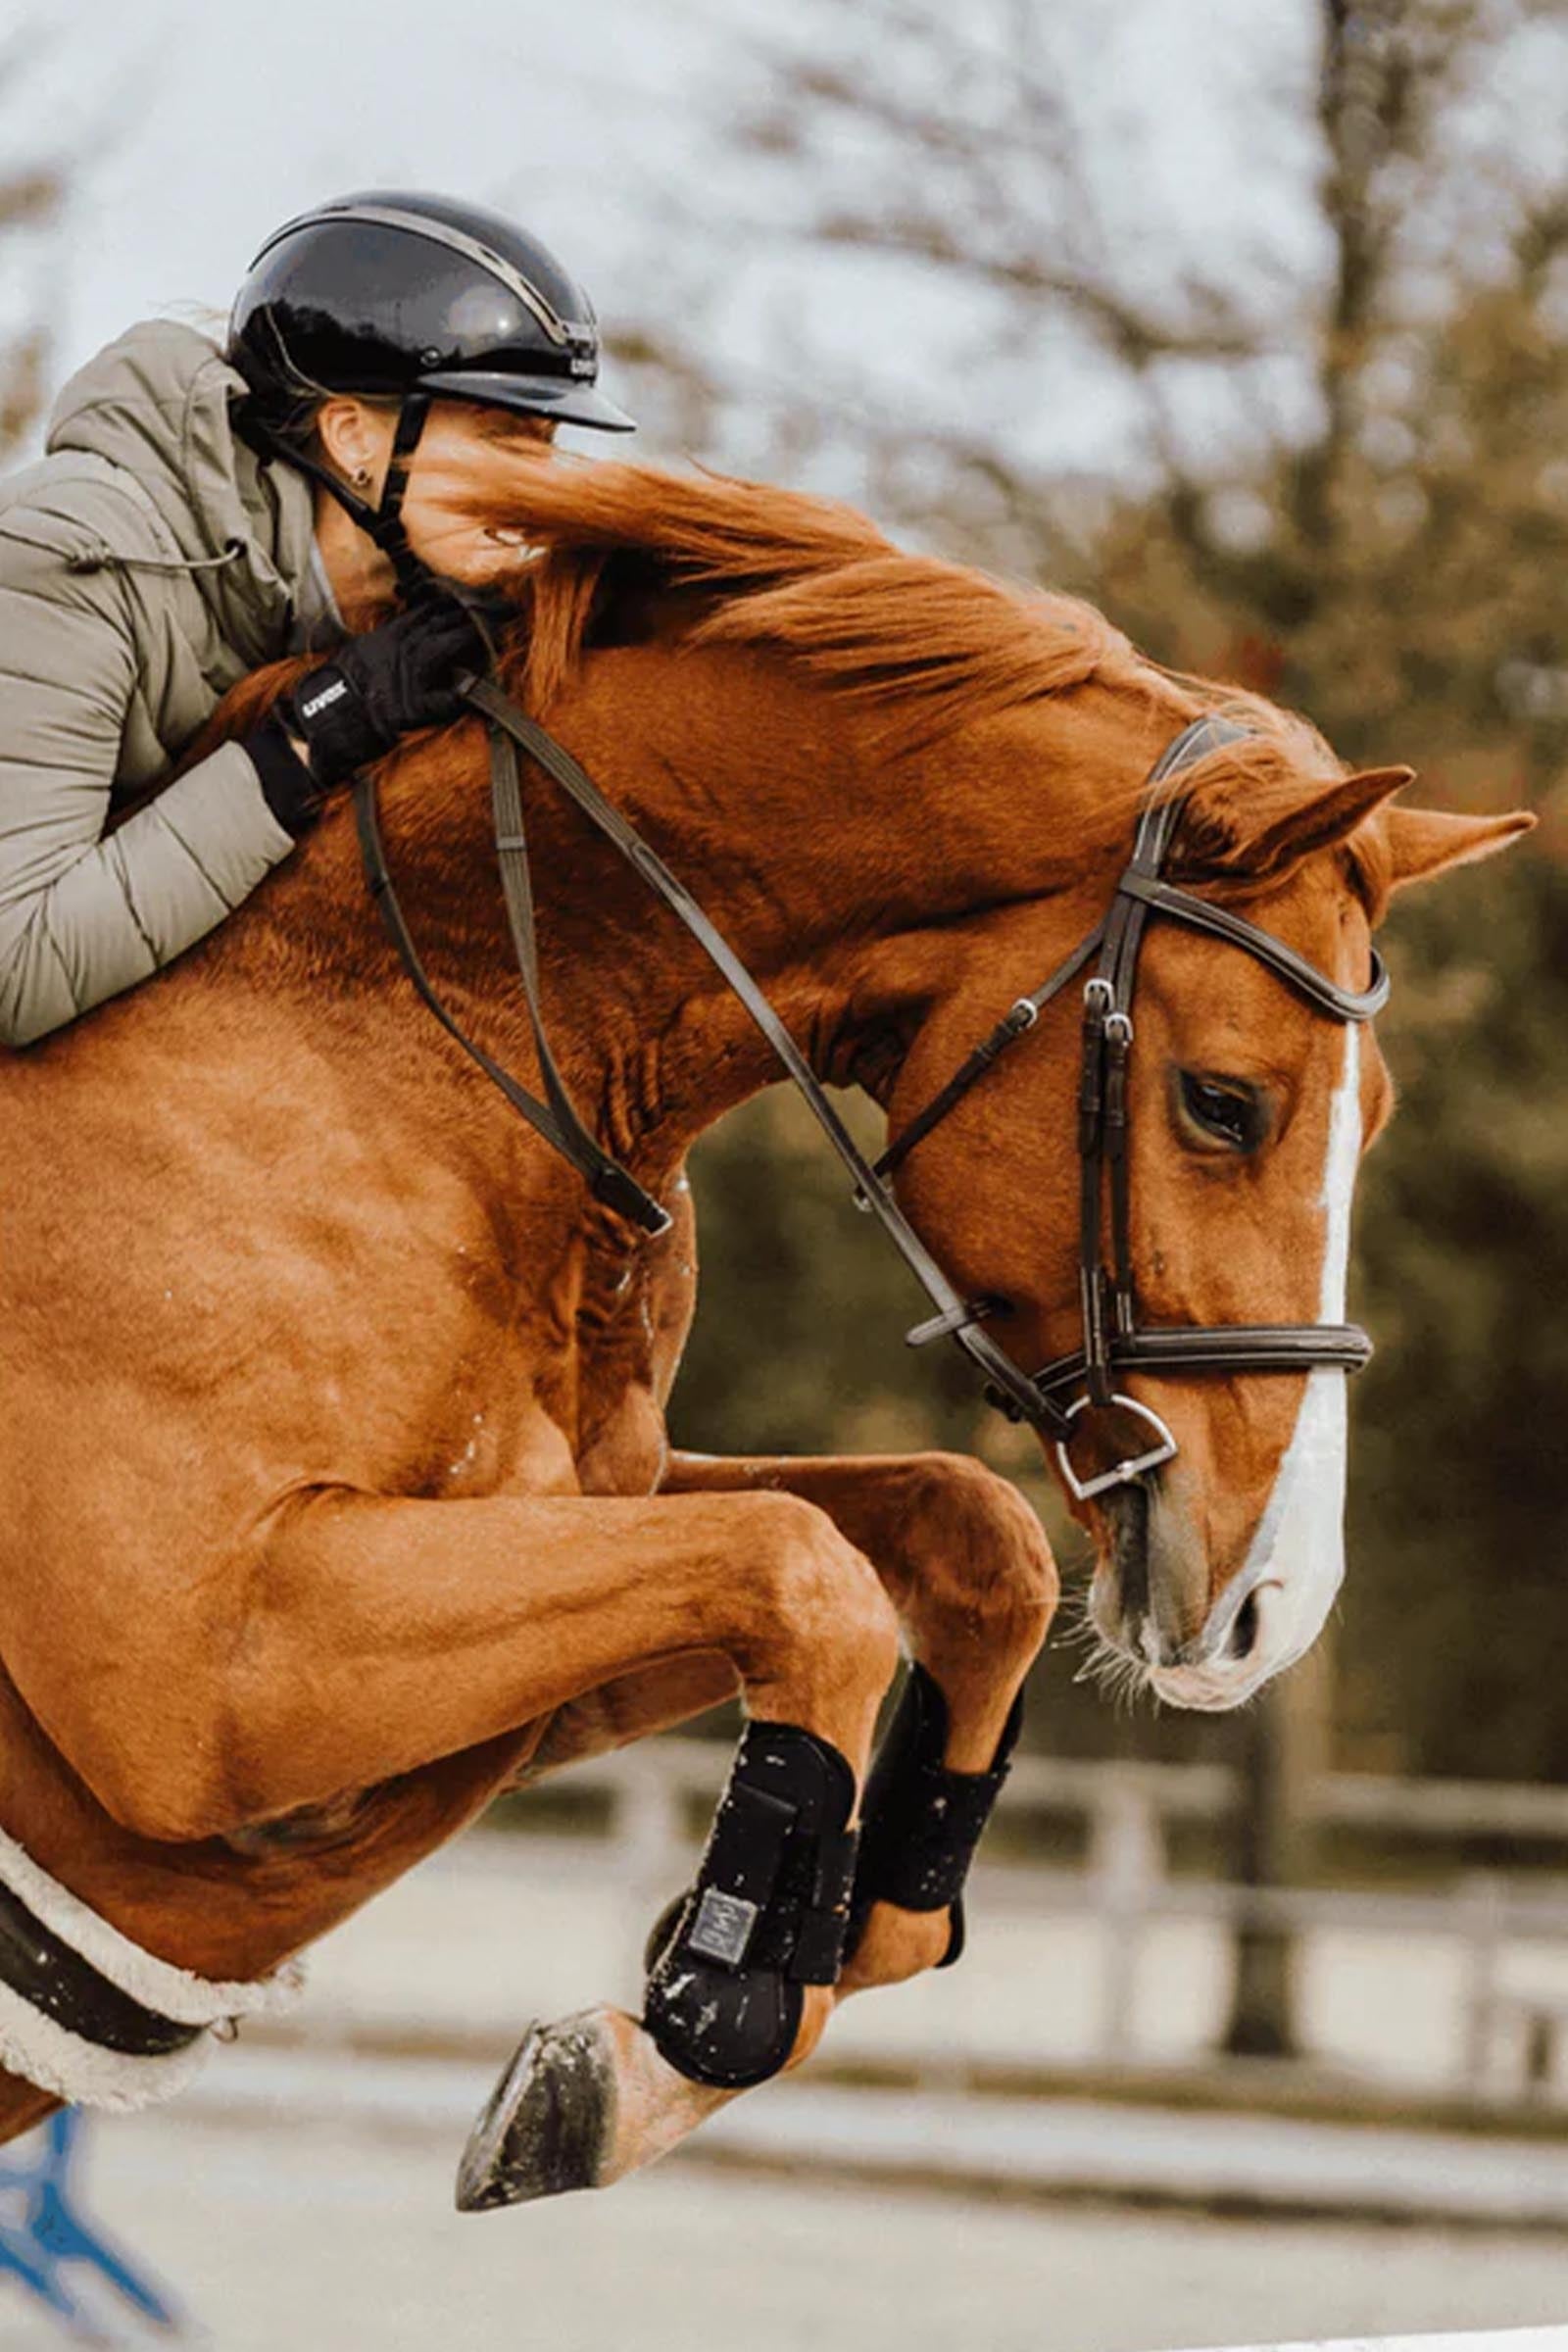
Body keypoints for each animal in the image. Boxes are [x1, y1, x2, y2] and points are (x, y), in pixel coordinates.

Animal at [0, 433, 1528, 2203]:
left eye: (1379, 1117)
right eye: (1226, 1105)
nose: (1273, 1609)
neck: (394, 1040)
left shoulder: (559, 1580)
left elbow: (951, 1539)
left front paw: (727, 2003)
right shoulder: (220, 1686)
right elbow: (804, 1574)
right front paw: (707, 1993)